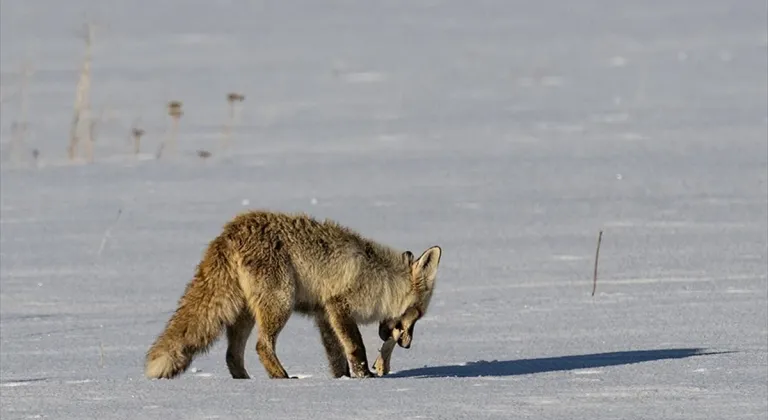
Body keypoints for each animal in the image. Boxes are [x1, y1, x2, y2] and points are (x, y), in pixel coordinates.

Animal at [145, 212, 440, 378]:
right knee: (261, 346)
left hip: (246, 315)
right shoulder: (339, 306)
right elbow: (356, 347)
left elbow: (336, 357)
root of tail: (230, 231)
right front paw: (364, 376)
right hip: (280, 304)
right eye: (417, 315)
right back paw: (283, 379)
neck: (380, 279)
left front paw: (343, 381)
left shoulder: (324, 315)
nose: (407, 345)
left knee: (232, 356)